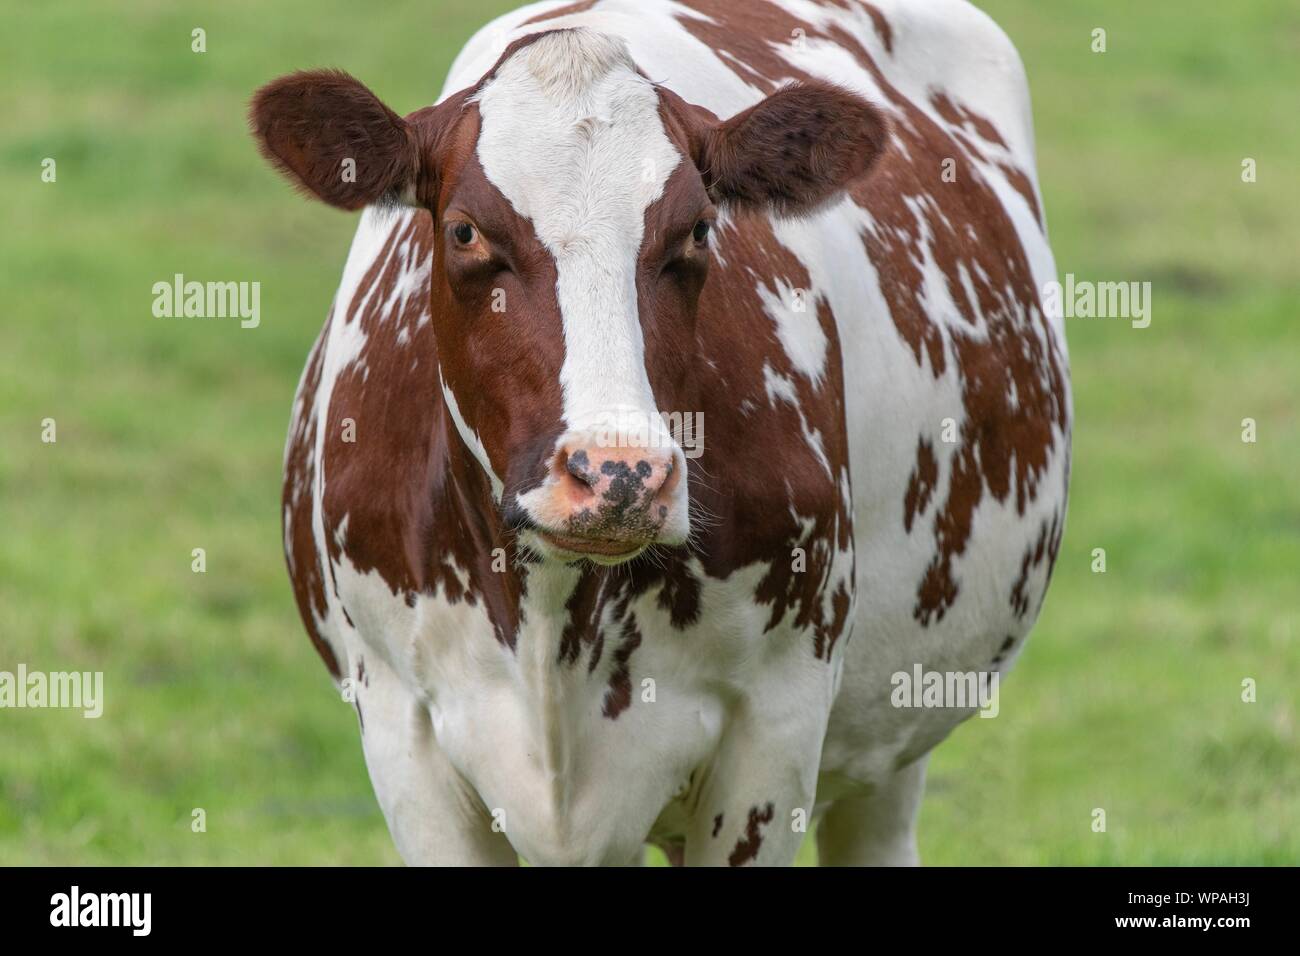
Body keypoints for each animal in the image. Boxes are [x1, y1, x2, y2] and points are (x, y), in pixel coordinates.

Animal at [251, 0, 1070, 866]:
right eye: (467, 232)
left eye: (701, 230)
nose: (619, 474)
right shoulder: (402, 733)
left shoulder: (775, 730)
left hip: (893, 729)